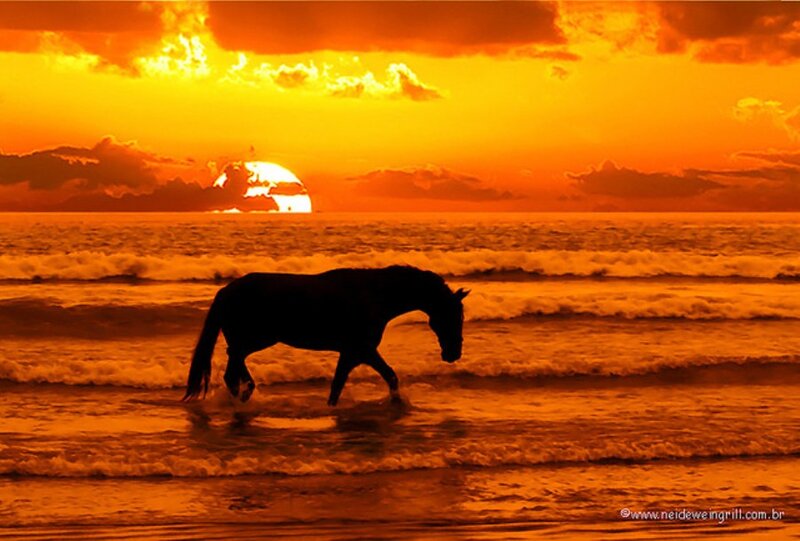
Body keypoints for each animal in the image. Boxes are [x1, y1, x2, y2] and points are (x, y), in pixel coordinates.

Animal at [182, 265, 469, 406]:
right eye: (453, 316)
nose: (453, 353)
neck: (375, 295)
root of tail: (226, 291)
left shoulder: (354, 353)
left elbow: (343, 384)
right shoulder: (361, 350)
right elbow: (385, 376)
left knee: (234, 368)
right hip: (255, 339)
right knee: (234, 364)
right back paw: (243, 396)